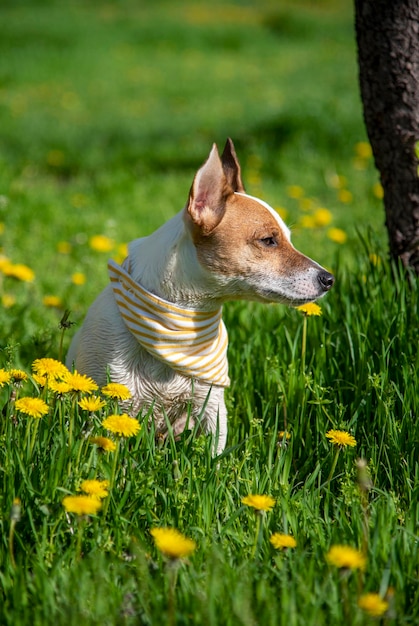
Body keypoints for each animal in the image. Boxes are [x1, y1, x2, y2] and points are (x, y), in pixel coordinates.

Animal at [66, 139, 334, 450]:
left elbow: (215, 452)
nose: (329, 279)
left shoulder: (211, 404)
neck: (179, 322)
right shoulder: (107, 401)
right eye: (268, 240)